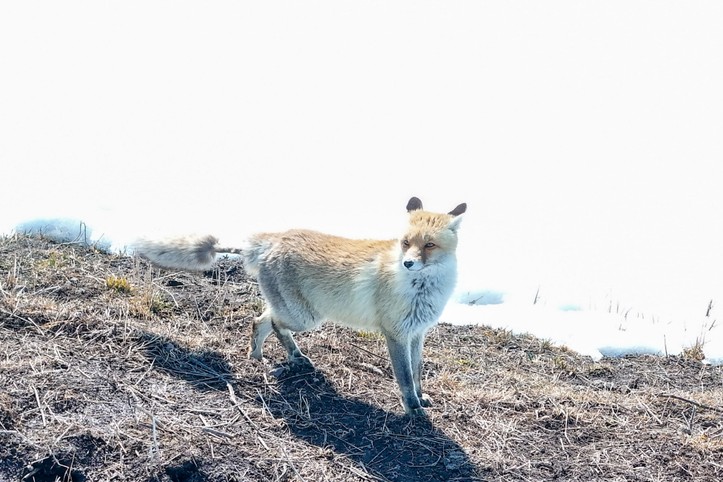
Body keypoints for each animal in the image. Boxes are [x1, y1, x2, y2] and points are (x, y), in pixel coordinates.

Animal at [134, 198, 470, 416]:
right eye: (405, 243)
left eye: (429, 245)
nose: (408, 263)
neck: (422, 290)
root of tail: (273, 238)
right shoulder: (396, 334)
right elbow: (404, 377)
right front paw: (412, 409)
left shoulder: (417, 333)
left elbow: (417, 372)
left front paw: (421, 398)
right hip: (305, 318)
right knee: (269, 323)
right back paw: (291, 357)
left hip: (297, 313)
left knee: (261, 320)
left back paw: (260, 356)